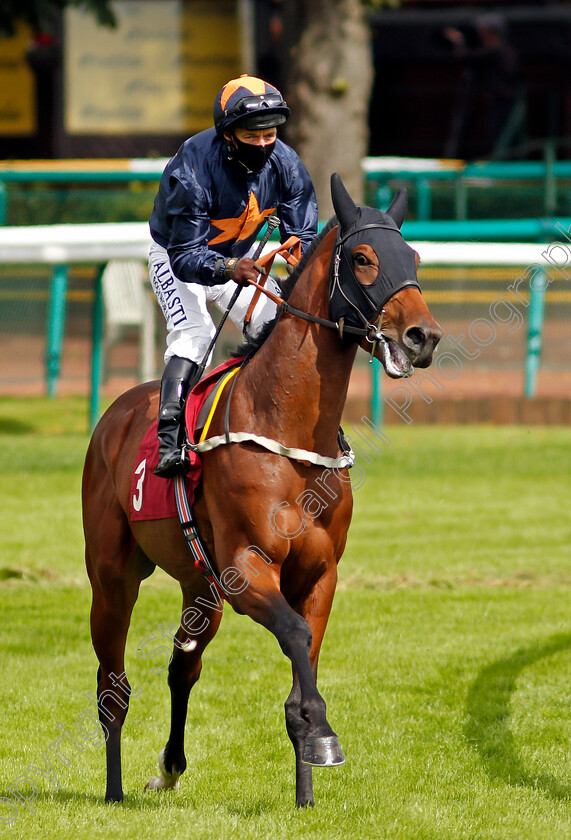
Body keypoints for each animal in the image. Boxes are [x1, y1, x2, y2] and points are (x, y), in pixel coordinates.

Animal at [84, 176, 442, 808]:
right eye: (363, 258)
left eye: (415, 257)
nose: (423, 337)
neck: (290, 431)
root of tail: (117, 412)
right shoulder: (249, 568)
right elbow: (295, 637)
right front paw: (322, 736)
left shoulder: (319, 572)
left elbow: (305, 657)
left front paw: (306, 785)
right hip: (112, 578)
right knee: (113, 684)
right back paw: (114, 789)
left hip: (200, 584)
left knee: (182, 665)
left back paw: (169, 768)